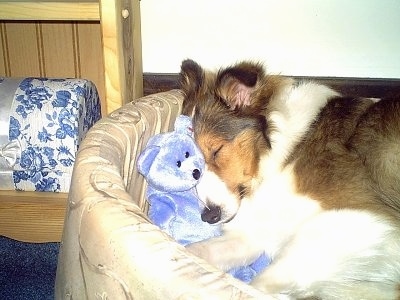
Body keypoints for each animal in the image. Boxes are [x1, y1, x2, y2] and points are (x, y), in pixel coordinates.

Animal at [180, 59, 400, 300]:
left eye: (216, 150)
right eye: (195, 170)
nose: (209, 216)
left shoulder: (358, 218)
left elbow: (258, 285)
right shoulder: (251, 236)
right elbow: (192, 254)